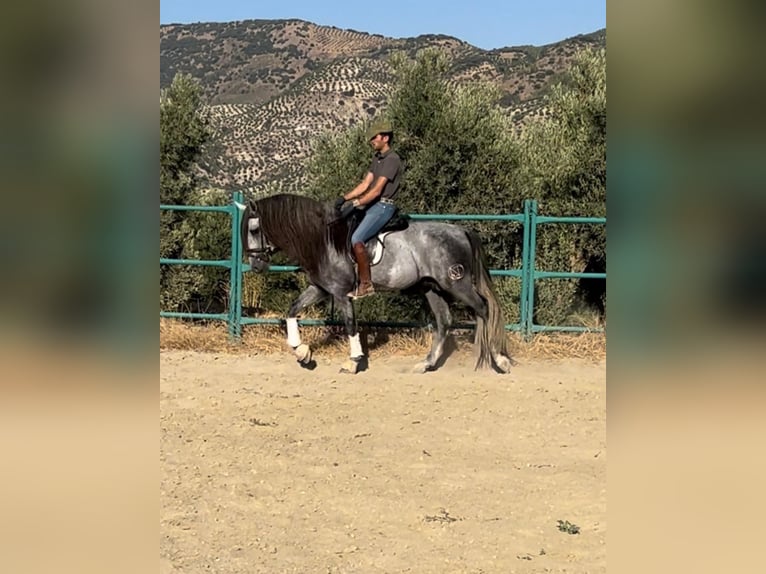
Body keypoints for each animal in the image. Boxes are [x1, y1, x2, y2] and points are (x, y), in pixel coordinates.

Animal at [238, 191, 516, 376]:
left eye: (254, 230)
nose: (256, 266)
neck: (322, 241)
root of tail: (461, 231)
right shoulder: (321, 288)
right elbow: (292, 309)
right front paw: (302, 352)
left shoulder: (341, 293)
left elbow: (350, 324)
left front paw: (352, 361)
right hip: (432, 287)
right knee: (445, 320)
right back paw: (426, 364)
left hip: (456, 283)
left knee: (483, 309)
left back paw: (499, 361)